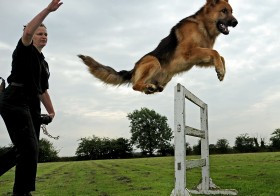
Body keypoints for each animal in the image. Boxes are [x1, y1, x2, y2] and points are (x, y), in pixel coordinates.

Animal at [77, 0, 237, 94]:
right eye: (224, 11)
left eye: (231, 11)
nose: (236, 22)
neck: (203, 25)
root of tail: (133, 69)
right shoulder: (189, 53)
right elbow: (215, 52)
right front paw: (220, 70)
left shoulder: (198, 59)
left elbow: (220, 56)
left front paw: (221, 71)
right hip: (153, 61)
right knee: (135, 85)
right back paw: (147, 86)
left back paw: (151, 88)